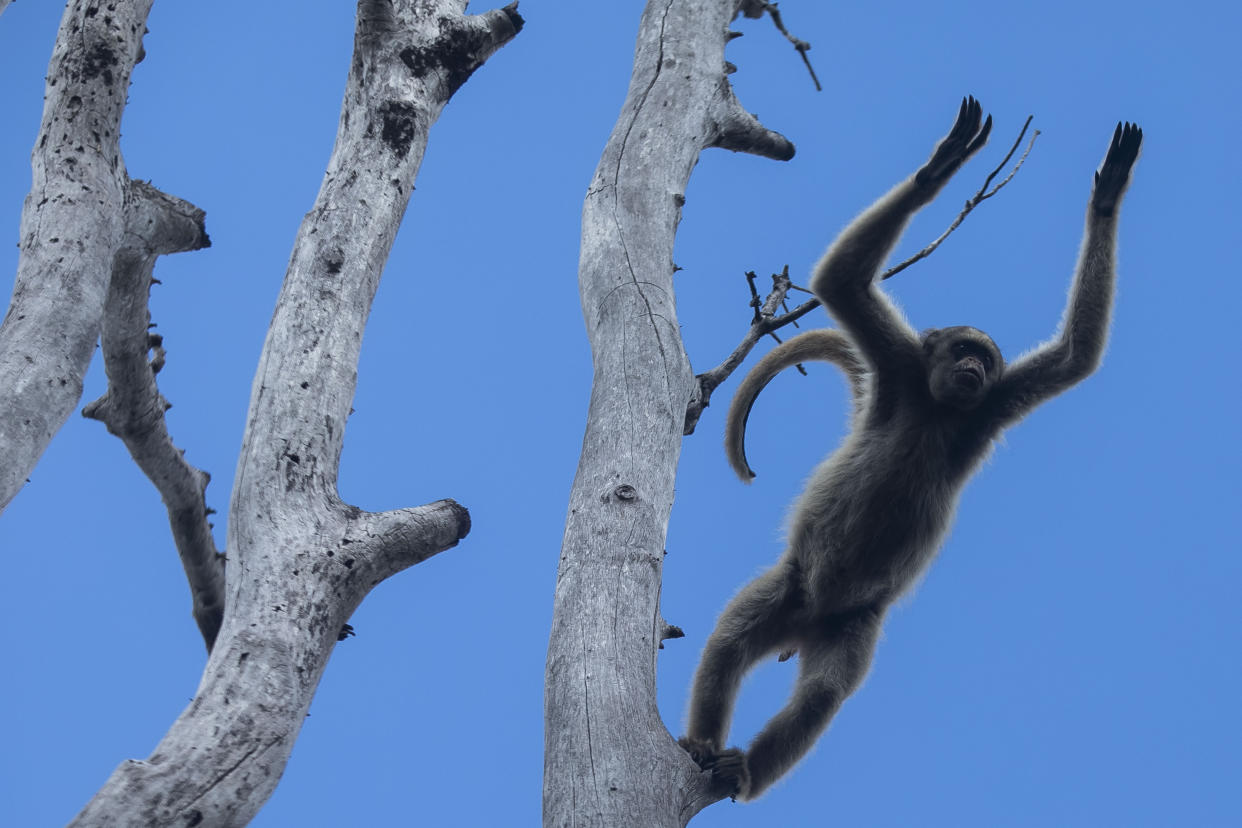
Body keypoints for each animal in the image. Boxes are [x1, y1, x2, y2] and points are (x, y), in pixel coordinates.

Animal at [680, 98, 1142, 804]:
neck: (938, 409)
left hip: (852, 624)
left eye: (985, 359)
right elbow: (840, 282)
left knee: (821, 694)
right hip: (793, 588)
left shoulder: (990, 406)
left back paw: (745, 769)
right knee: (733, 637)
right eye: (964, 351)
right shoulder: (900, 367)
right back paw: (707, 744)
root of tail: (806, 622)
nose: (974, 368)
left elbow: (1076, 356)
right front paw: (943, 164)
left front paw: (1109, 194)